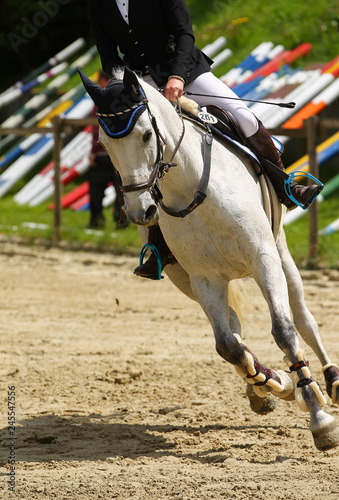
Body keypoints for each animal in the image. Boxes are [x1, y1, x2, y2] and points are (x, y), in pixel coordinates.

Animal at [79, 67, 339, 454]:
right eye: (104, 145)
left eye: (145, 135)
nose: (142, 212)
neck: (190, 188)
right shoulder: (203, 278)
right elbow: (228, 346)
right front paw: (273, 382)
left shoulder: (263, 258)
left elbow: (285, 329)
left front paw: (320, 420)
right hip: (184, 278)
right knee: (234, 327)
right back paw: (265, 386)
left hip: (279, 251)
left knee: (304, 317)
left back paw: (330, 382)